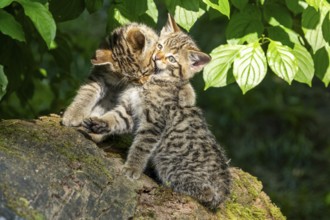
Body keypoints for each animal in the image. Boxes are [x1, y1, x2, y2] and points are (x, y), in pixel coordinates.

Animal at [84, 15, 231, 210]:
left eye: (172, 59)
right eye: (160, 46)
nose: (157, 57)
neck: (153, 81)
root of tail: (224, 186)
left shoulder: (153, 121)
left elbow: (141, 146)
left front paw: (132, 168)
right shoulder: (130, 110)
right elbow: (115, 118)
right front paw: (98, 123)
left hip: (172, 165)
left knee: (207, 193)